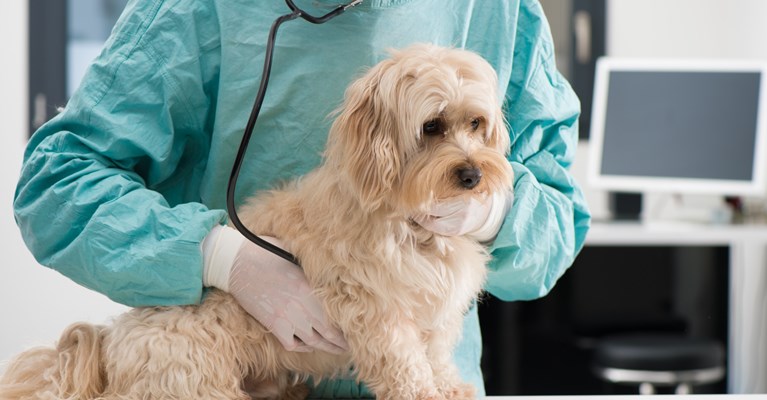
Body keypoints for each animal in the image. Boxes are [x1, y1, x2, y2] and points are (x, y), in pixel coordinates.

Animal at [3, 43, 516, 400]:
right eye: (431, 127)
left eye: (475, 123)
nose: (472, 175)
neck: (409, 223)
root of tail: (108, 350)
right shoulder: (378, 312)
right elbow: (406, 362)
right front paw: (423, 392)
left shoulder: (436, 311)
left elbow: (437, 354)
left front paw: (449, 386)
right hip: (199, 378)